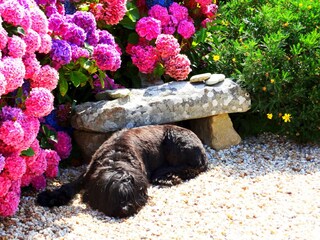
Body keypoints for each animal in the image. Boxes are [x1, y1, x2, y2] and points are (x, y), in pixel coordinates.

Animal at [37, 124, 208, 218]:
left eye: (134, 193)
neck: (117, 156)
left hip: (175, 141)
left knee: (191, 167)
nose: (125, 208)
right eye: (110, 194)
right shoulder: (88, 172)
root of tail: (202, 149)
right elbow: (69, 186)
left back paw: (166, 177)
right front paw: (50, 197)